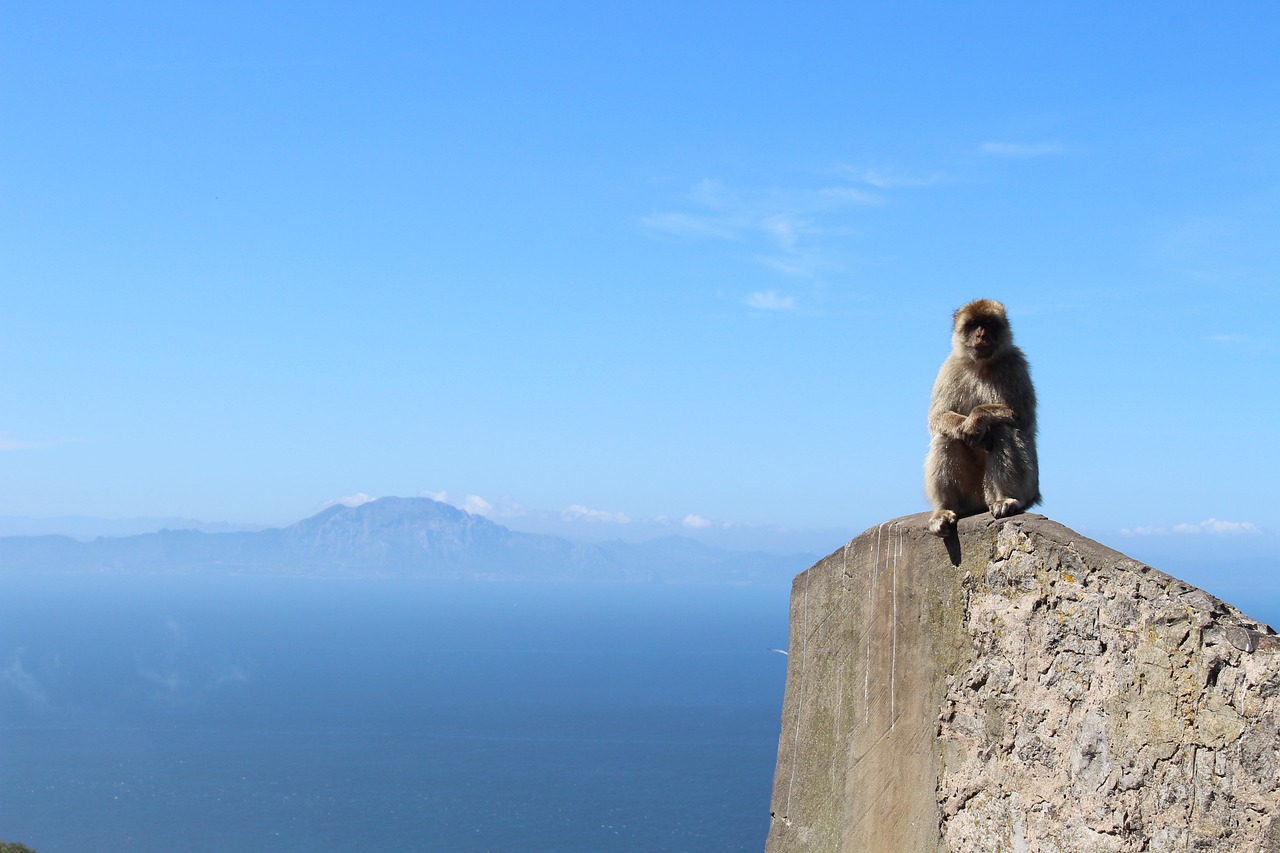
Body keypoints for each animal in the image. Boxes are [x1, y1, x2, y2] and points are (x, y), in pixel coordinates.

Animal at [926, 298, 1044, 535]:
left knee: (1003, 428)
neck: (981, 364)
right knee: (945, 436)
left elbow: (1022, 416)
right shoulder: (949, 367)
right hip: (971, 495)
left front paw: (975, 420)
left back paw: (1005, 498)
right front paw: (965, 425)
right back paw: (944, 509)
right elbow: (937, 416)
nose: (981, 335)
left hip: (1029, 485)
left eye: (988, 324)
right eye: (973, 325)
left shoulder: (1015, 363)